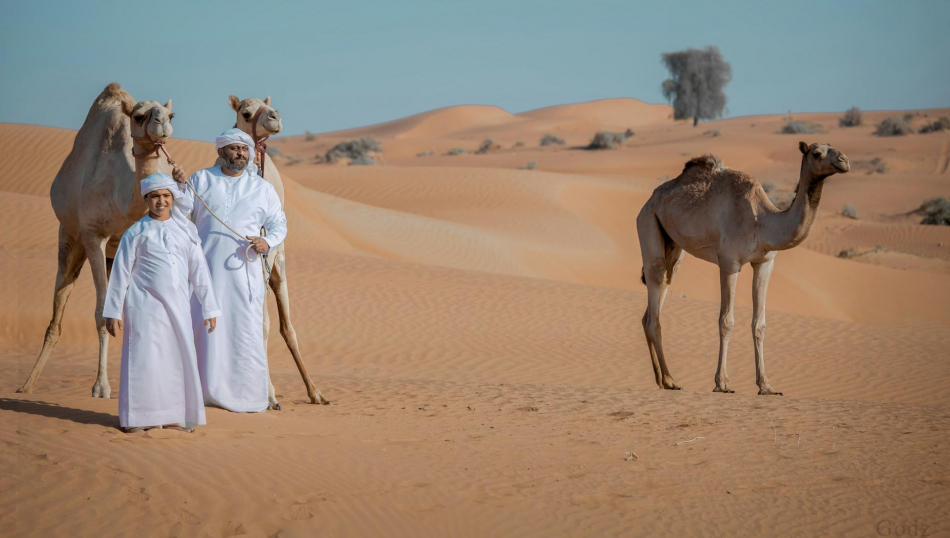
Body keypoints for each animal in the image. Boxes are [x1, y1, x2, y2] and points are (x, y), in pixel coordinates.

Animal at [17, 81, 178, 396]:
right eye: (139, 116)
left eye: (171, 114)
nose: (163, 123)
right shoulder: (93, 235)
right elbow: (102, 313)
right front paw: (101, 387)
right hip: (70, 238)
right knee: (58, 308)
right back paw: (27, 385)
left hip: (112, 255)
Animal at [224, 95, 330, 406]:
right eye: (246, 113)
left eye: (270, 106)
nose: (274, 118)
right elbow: (260, 324)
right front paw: (268, 395)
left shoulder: (274, 262)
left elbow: (281, 327)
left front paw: (313, 392)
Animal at [636, 140, 852, 394]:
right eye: (817, 153)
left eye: (834, 148)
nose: (844, 161)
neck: (762, 222)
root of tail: (648, 201)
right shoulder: (729, 263)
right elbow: (726, 321)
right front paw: (722, 383)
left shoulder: (765, 263)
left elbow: (759, 324)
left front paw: (766, 385)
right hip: (647, 221)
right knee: (655, 286)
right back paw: (670, 380)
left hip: (674, 246)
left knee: (662, 288)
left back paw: (662, 380)